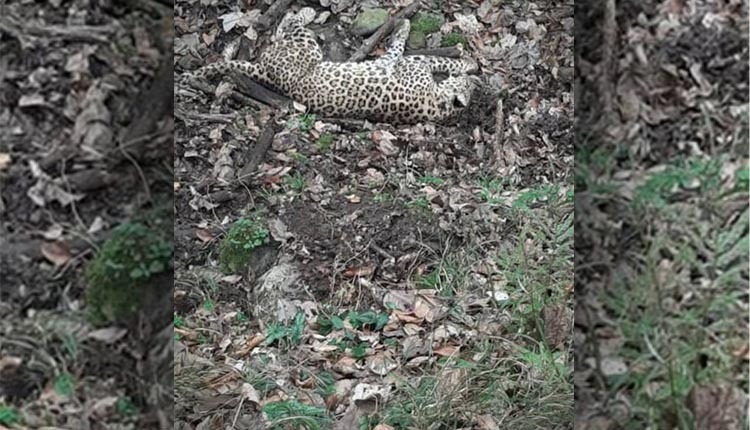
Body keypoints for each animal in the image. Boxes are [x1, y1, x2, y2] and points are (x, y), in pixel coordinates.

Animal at [179, 7, 478, 123]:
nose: (472, 83)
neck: (437, 104)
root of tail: (267, 73)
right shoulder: (405, 61)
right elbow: (436, 58)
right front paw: (470, 65)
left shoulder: (404, 61)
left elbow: (429, 57)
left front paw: (468, 66)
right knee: (287, 27)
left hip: (306, 49)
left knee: (289, 27)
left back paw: (301, 12)